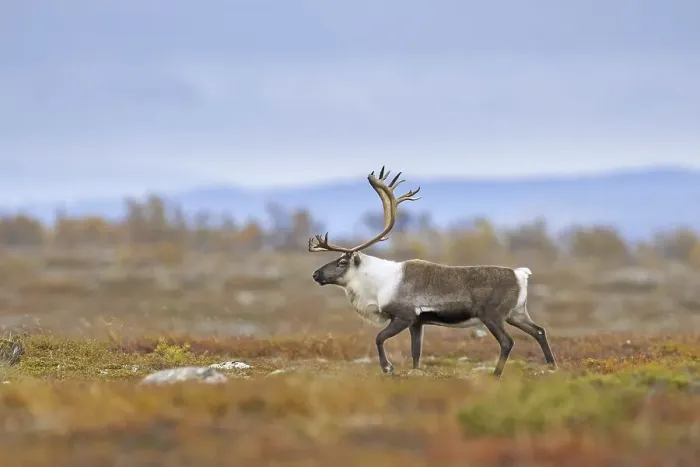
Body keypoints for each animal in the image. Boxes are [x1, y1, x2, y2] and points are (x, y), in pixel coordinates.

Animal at [309, 166, 557, 377]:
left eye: (342, 261)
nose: (316, 275)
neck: (379, 284)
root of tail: (520, 274)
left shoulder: (404, 316)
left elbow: (379, 338)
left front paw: (388, 367)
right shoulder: (418, 323)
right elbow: (416, 352)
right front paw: (414, 372)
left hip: (492, 315)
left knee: (507, 341)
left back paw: (496, 374)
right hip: (517, 313)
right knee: (539, 331)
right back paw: (552, 366)